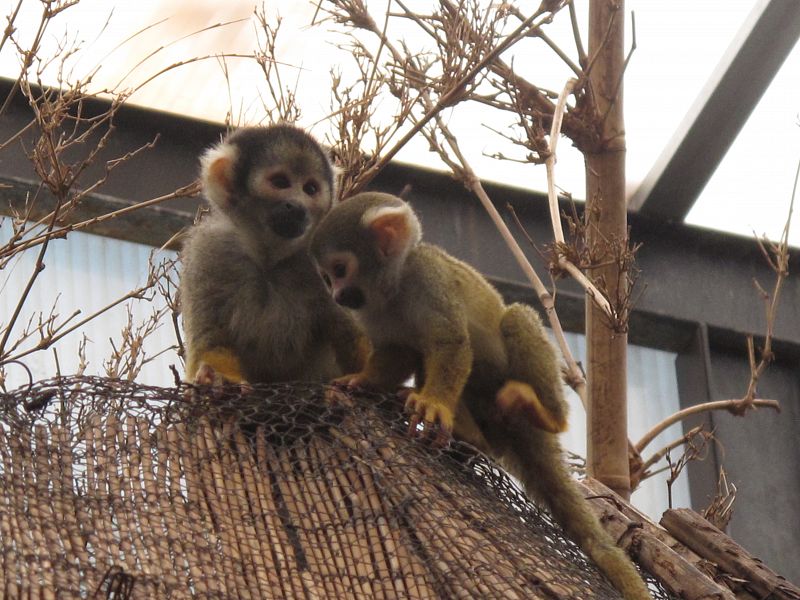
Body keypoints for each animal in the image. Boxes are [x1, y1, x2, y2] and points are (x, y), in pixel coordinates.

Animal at [179, 124, 368, 387]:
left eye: (310, 189)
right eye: (280, 182)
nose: (297, 207)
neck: (269, 258)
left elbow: (355, 336)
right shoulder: (208, 250)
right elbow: (210, 339)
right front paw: (219, 377)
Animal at [309, 191, 651, 600]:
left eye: (340, 269)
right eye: (326, 277)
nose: (337, 295)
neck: (392, 288)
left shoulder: (428, 277)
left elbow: (451, 342)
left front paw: (434, 404)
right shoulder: (373, 311)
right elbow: (400, 352)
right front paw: (362, 380)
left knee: (515, 319)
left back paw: (546, 414)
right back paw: (471, 436)